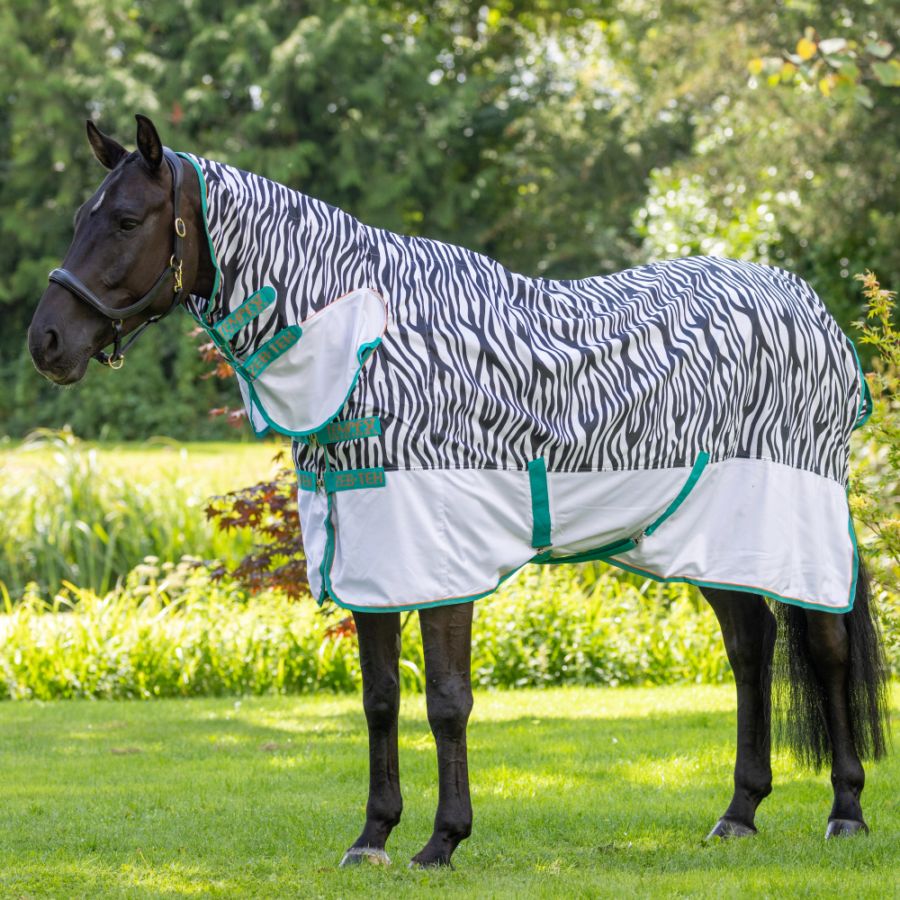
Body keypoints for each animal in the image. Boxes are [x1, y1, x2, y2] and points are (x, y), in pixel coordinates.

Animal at [28, 115, 889, 868]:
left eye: (128, 219)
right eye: (81, 217)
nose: (47, 342)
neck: (372, 344)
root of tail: (810, 310)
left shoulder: (440, 553)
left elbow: (446, 700)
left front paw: (442, 841)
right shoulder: (368, 547)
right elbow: (379, 699)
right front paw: (372, 836)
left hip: (795, 521)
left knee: (825, 646)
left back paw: (846, 810)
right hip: (712, 534)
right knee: (750, 649)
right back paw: (739, 813)